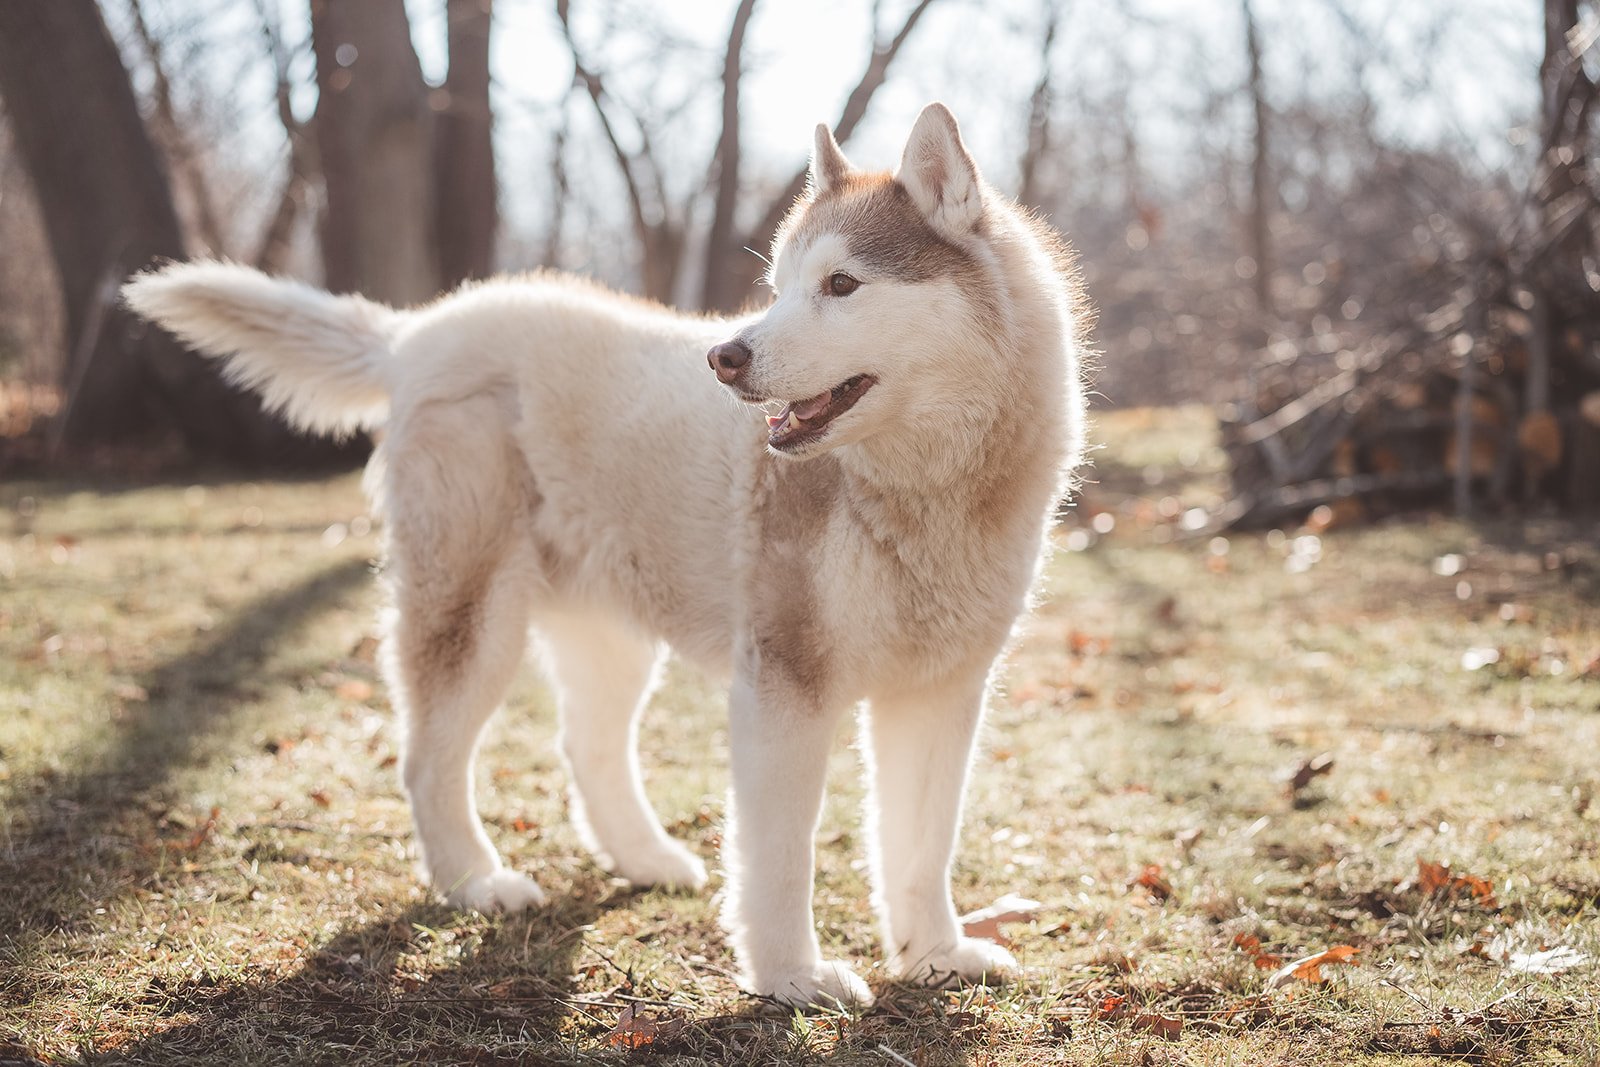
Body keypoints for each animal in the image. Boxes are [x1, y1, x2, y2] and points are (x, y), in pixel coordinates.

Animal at [128, 102, 1088, 1011]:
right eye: (778, 288)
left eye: (842, 284)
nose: (724, 355)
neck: (926, 488)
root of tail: (422, 329)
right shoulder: (786, 682)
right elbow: (780, 858)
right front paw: (791, 977)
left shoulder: (940, 693)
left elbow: (921, 848)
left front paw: (934, 955)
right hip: (472, 617)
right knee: (427, 758)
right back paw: (476, 881)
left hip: (611, 635)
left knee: (585, 747)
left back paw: (644, 857)